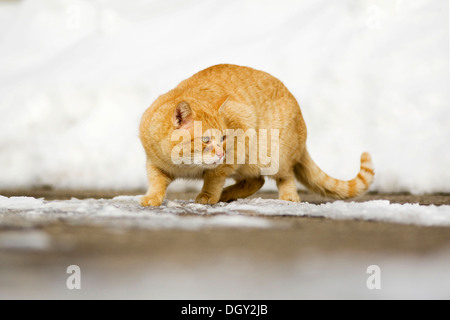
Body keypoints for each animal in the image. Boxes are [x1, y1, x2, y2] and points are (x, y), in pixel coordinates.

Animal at [140, 63, 372, 206]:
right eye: (206, 140)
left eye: (224, 138)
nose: (219, 153)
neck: (186, 165)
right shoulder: (155, 163)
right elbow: (156, 182)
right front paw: (152, 198)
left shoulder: (239, 136)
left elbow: (214, 178)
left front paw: (208, 195)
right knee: (255, 181)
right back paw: (228, 194)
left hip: (271, 155)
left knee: (283, 176)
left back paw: (286, 197)